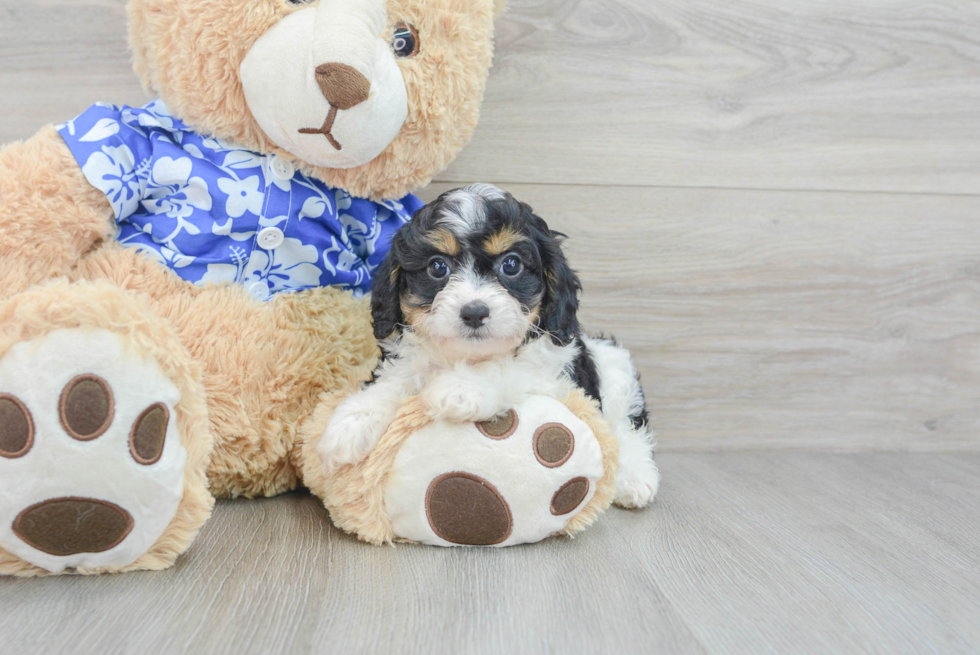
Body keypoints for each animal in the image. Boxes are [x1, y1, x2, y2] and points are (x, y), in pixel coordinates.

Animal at [318, 183, 664, 508]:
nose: (474, 312)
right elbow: (394, 380)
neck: (464, 355)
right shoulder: (406, 357)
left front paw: (460, 388)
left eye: (511, 265)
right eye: (437, 267)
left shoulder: (554, 378)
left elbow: (505, 368)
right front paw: (351, 423)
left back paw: (634, 479)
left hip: (617, 374)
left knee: (628, 429)